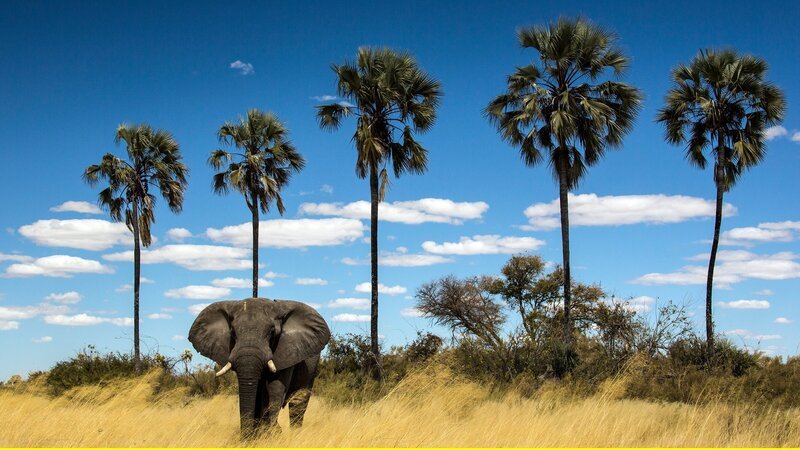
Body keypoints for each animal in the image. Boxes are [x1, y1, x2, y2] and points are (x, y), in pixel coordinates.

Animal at [188, 298, 330, 437]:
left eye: (272, 332)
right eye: (232, 332)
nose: (244, 439)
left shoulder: (286, 351)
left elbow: (274, 390)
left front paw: (272, 435)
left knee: (298, 403)